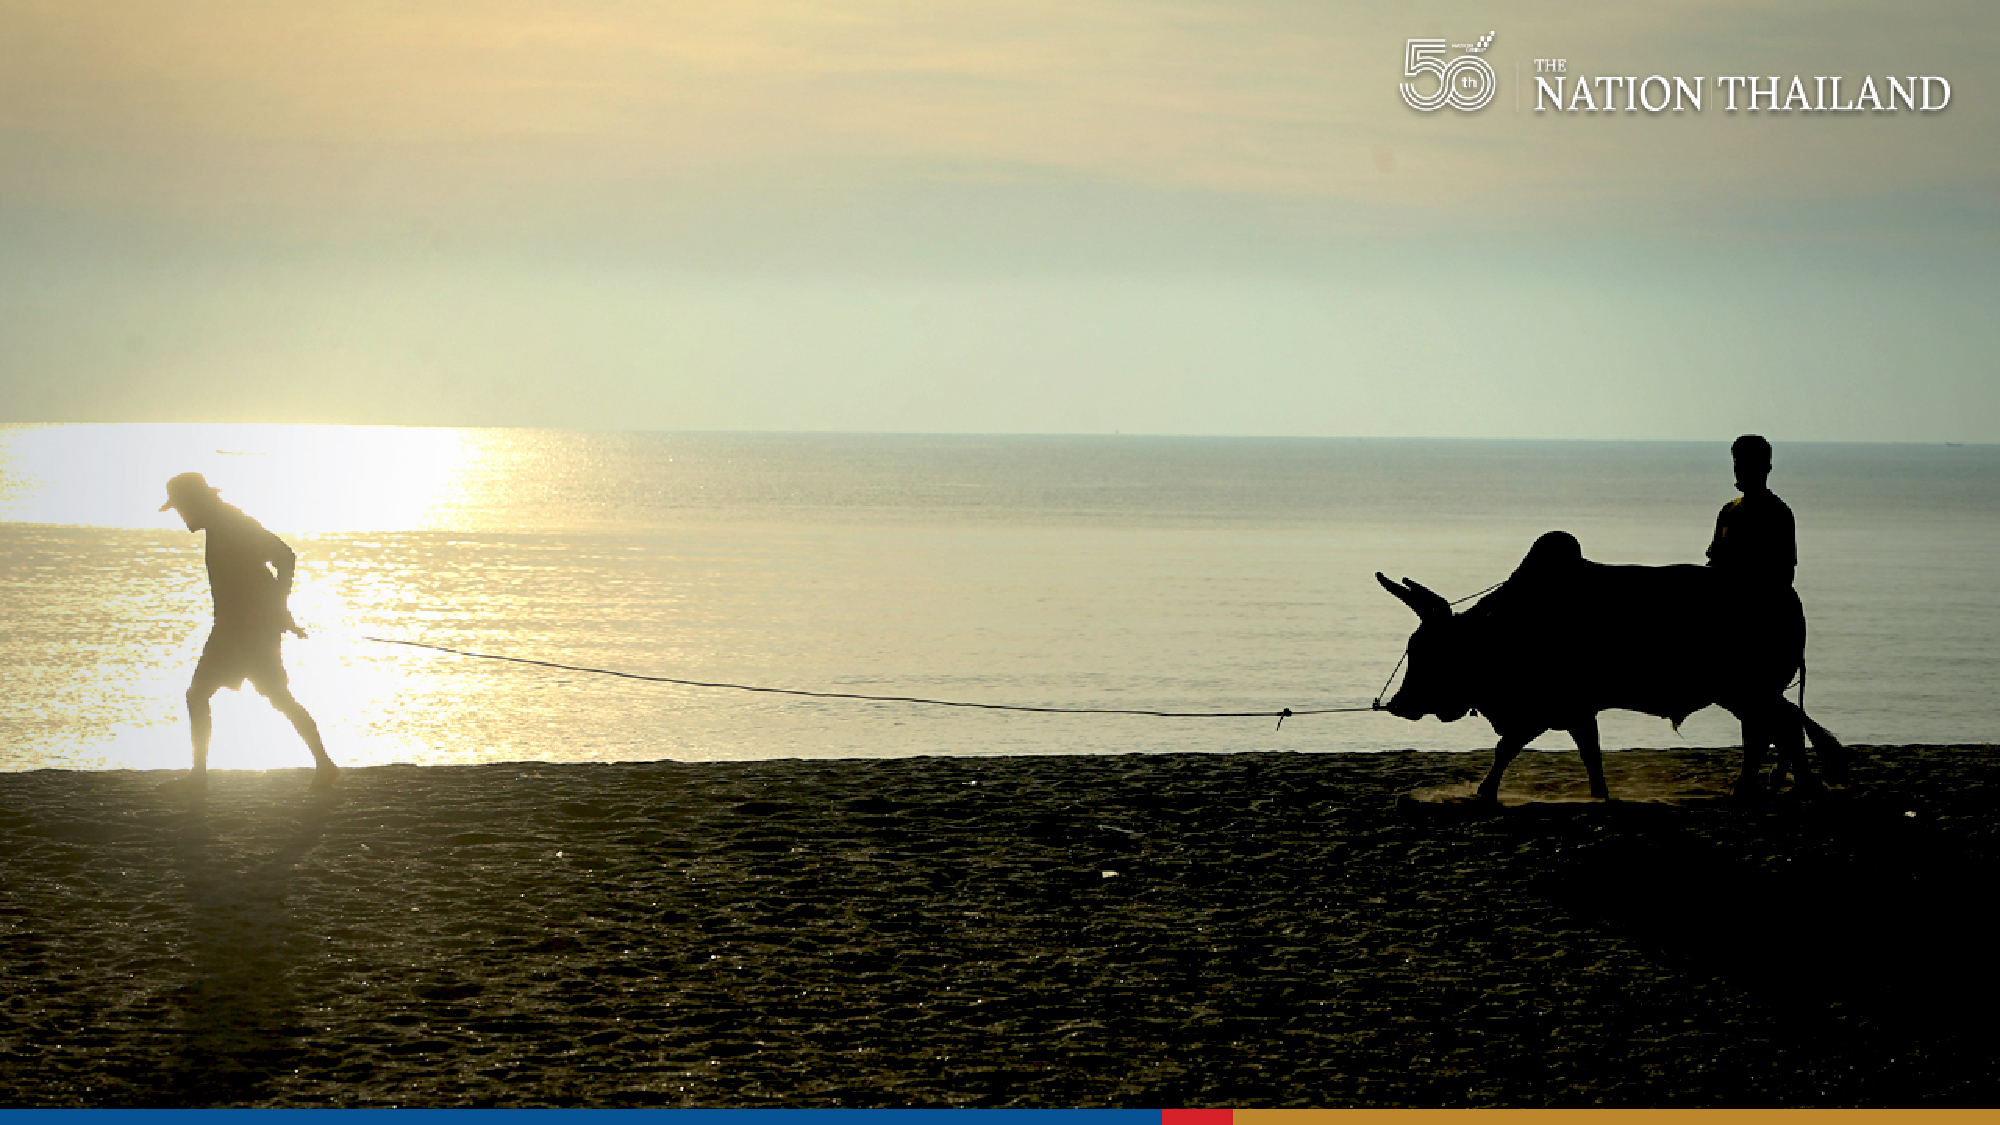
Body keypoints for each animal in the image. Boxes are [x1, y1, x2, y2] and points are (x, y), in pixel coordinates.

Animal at [1375, 531, 1844, 801]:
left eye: (1430, 652)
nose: (1399, 703)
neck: (1505, 631)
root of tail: (1787, 596)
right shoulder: (1574, 710)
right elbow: (1589, 754)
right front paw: (1600, 794)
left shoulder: (1552, 706)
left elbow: (1510, 746)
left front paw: (1485, 792)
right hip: (1747, 693)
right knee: (1775, 729)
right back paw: (1771, 784)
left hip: (1748, 690)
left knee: (1778, 728)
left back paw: (1782, 786)